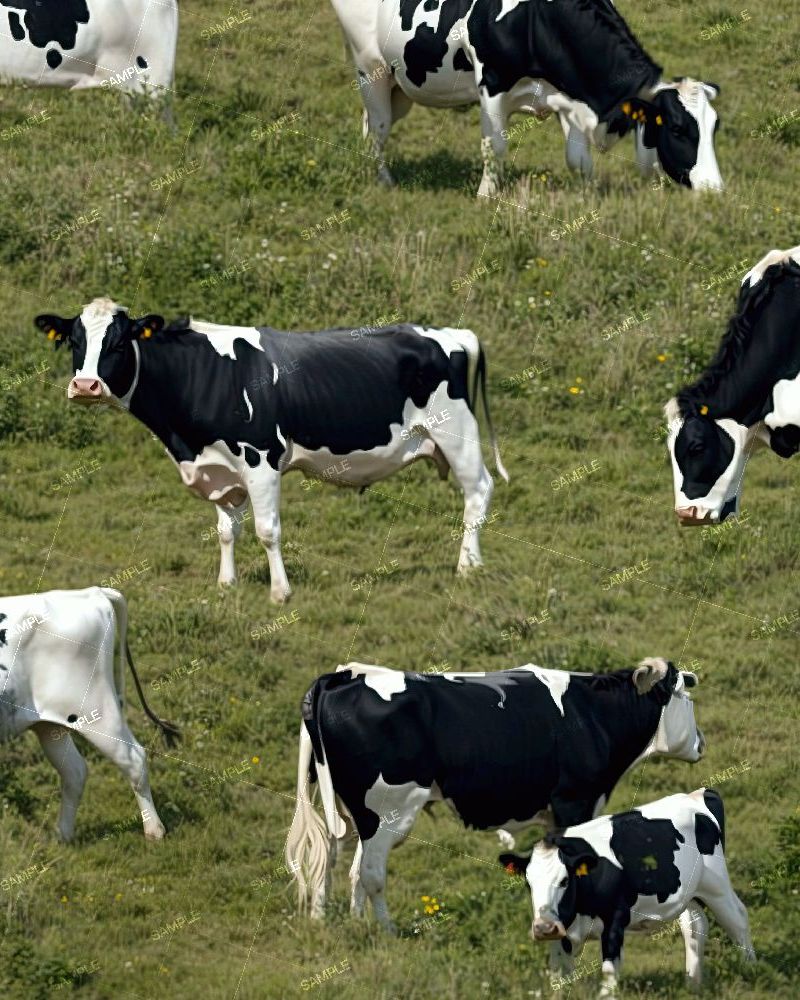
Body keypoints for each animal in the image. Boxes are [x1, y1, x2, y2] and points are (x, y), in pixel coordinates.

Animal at [0, 586, 179, 842]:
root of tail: (93, 592)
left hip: (97, 711)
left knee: (134, 759)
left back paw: (154, 831)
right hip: (50, 725)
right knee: (75, 772)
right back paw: (63, 838)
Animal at [35, 299, 508, 603]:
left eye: (117, 343)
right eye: (75, 342)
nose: (85, 386)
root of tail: (449, 332)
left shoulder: (260, 459)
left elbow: (267, 531)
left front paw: (280, 593)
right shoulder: (220, 467)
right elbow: (226, 530)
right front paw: (226, 585)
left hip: (457, 433)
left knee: (478, 493)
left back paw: (469, 566)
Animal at [286, 657, 704, 932]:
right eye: (685, 696)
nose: (701, 742)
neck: (592, 713)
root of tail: (344, 674)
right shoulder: (574, 801)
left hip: (347, 807)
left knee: (336, 859)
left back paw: (339, 923)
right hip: (387, 811)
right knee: (369, 872)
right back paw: (387, 933)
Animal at [330, 0, 723, 195]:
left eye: (713, 127)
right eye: (677, 129)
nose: (714, 190)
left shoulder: (568, 95)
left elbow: (578, 159)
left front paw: (589, 198)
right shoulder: (491, 80)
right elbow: (496, 147)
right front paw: (485, 196)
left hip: (401, 86)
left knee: (371, 124)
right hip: (370, 68)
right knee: (378, 128)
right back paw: (384, 183)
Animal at [502, 789, 755, 996]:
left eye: (564, 881)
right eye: (528, 883)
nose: (544, 927)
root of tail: (697, 794)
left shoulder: (615, 919)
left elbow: (608, 970)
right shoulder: (562, 933)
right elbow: (559, 974)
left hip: (716, 885)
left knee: (737, 919)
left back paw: (749, 970)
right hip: (689, 893)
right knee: (695, 926)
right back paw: (692, 984)